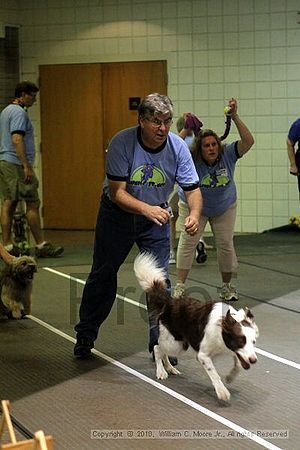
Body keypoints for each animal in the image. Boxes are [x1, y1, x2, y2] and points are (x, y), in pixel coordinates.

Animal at [134, 251, 258, 402]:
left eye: (253, 342)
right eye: (241, 341)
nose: (254, 360)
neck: (222, 327)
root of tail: (170, 302)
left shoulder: (234, 350)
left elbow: (239, 363)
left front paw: (230, 377)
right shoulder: (203, 355)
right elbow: (214, 373)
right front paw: (222, 392)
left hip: (179, 343)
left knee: (163, 352)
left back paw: (169, 368)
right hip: (175, 342)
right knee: (157, 348)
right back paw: (161, 372)